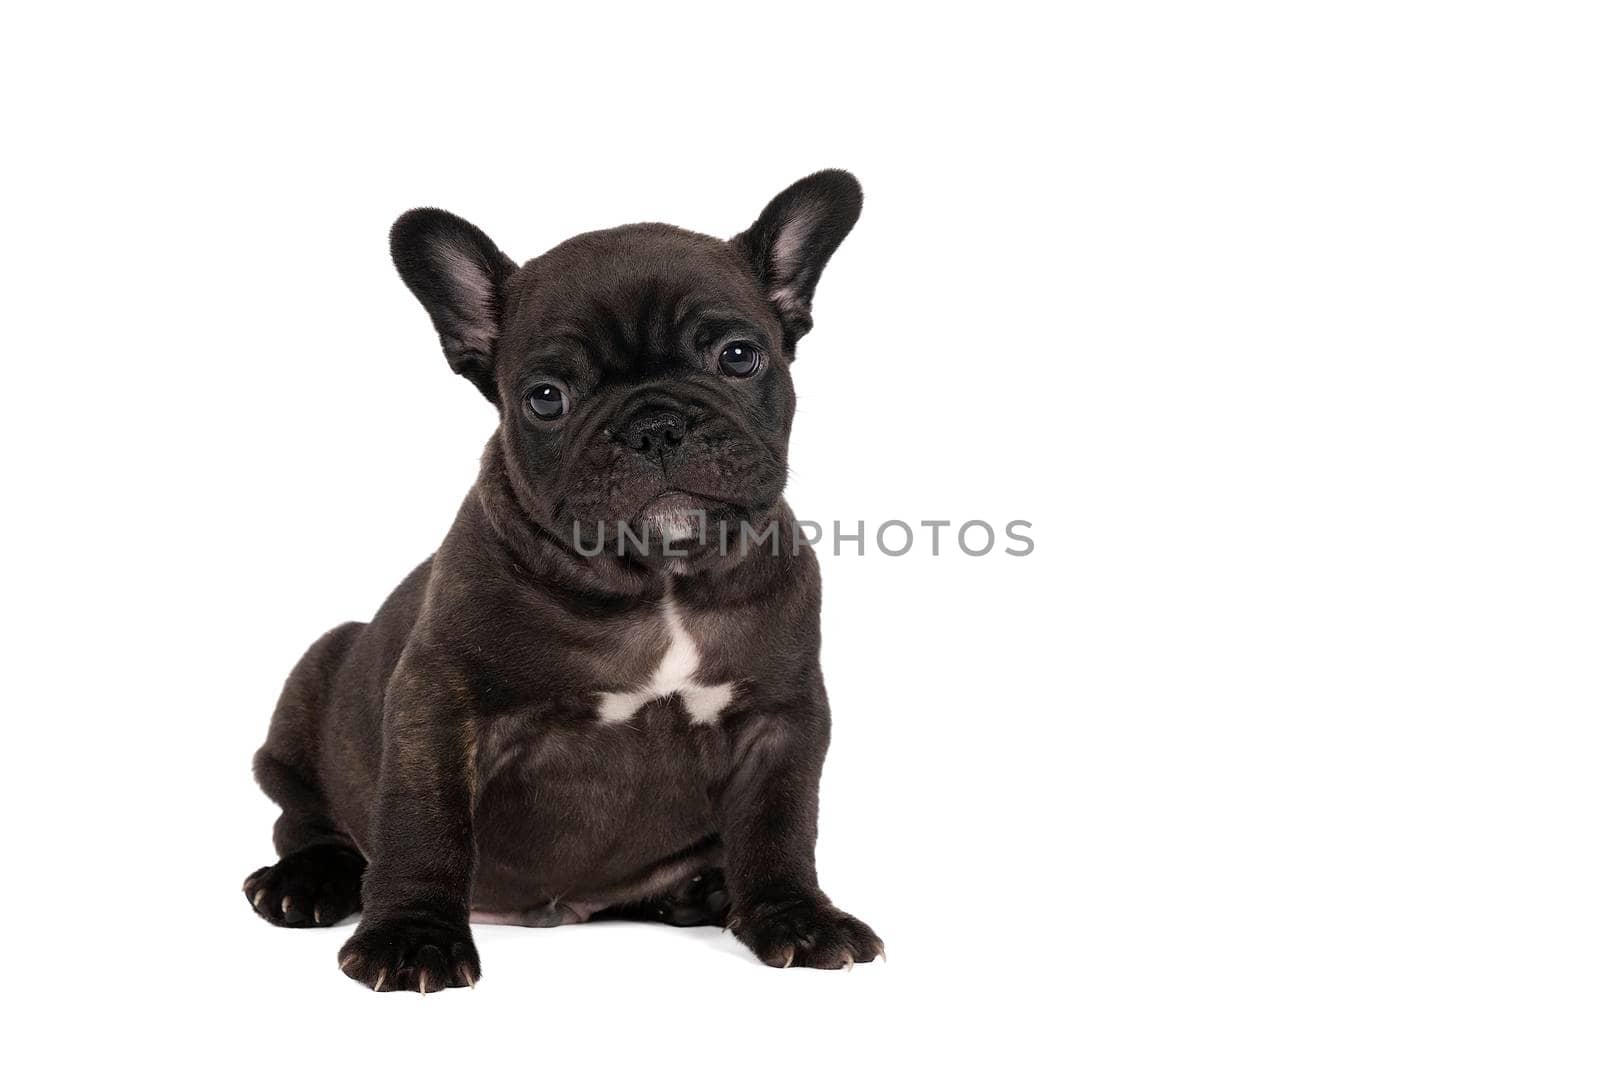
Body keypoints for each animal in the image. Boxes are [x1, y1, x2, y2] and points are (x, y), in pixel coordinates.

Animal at [243, 168, 883, 991]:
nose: (655, 425)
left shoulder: (780, 713)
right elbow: (425, 821)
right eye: (546, 396)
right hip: (316, 676)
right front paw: (412, 935)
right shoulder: (438, 698)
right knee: (304, 817)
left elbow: (782, 823)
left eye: (740, 356)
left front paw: (795, 915)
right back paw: (306, 881)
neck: (659, 581)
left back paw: (703, 889)